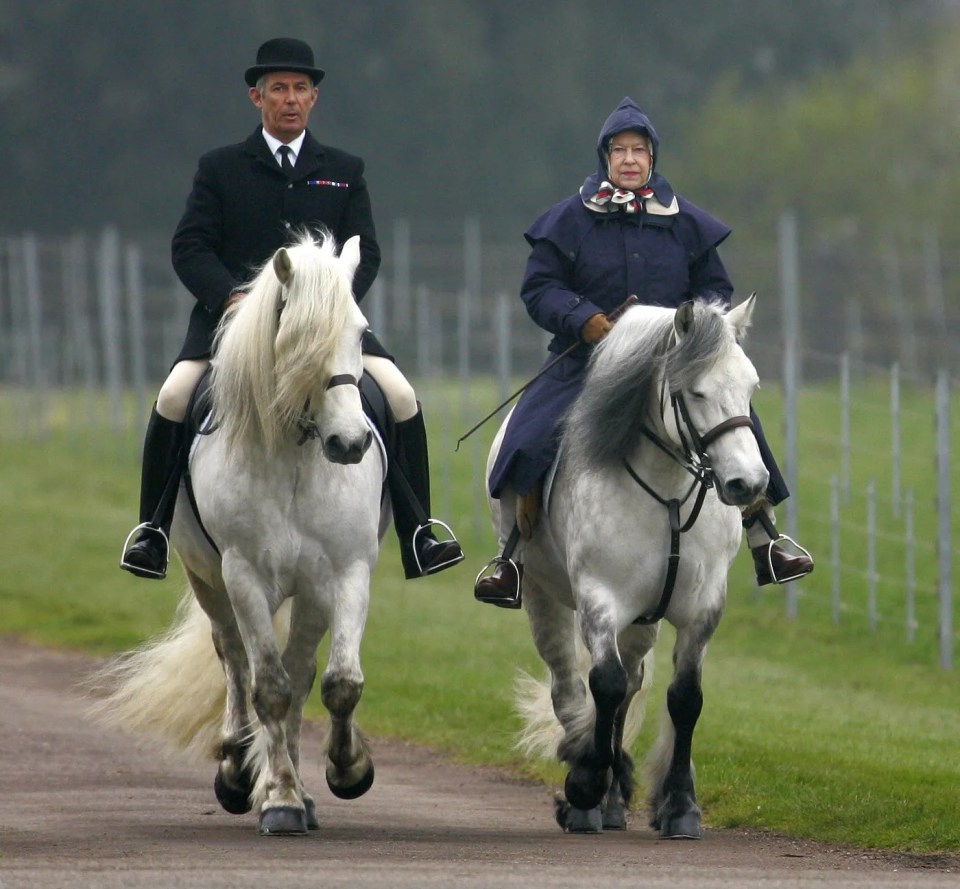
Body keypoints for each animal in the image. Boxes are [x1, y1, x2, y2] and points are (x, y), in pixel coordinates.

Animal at [91, 232, 386, 836]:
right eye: (293, 341)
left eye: (360, 332)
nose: (349, 444)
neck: (295, 457)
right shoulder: (243, 574)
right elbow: (267, 688)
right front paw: (279, 800)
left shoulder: (345, 572)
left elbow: (339, 682)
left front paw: (348, 770)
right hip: (209, 578)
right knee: (233, 656)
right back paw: (237, 770)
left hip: (309, 591)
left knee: (301, 671)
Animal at [492, 294, 768, 836]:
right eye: (696, 392)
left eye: (750, 387)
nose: (748, 484)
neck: (667, 493)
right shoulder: (600, 598)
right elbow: (605, 683)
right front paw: (582, 786)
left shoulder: (702, 609)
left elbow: (684, 698)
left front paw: (680, 806)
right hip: (544, 599)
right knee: (571, 687)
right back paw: (591, 797)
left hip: (644, 620)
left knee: (630, 683)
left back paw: (615, 799)